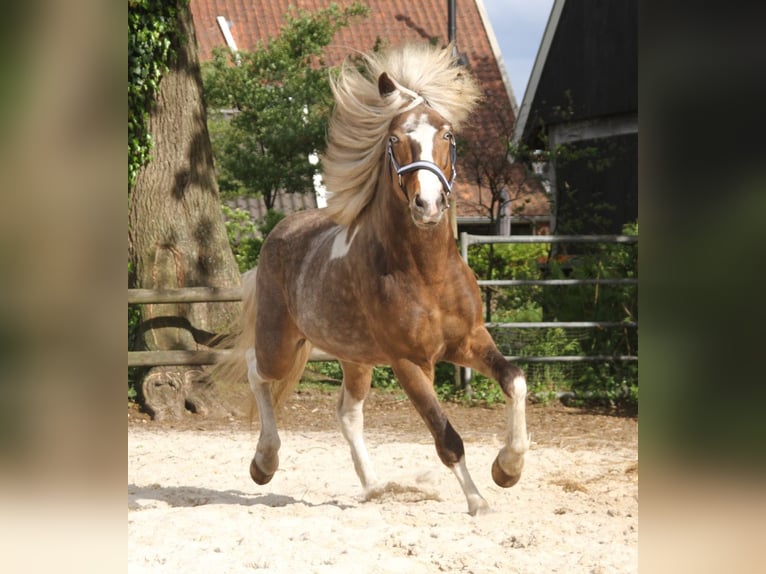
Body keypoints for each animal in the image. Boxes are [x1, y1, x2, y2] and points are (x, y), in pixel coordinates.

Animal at [213, 43, 529, 515]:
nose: (428, 205)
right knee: (257, 372)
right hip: (280, 344)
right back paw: (263, 463)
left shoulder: (469, 341)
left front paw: (507, 468)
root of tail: (280, 232)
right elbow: (446, 436)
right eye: (395, 140)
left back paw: (374, 486)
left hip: (355, 356)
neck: (426, 273)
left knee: (347, 412)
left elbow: (515, 380)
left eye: (447, 135)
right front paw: (478, 501)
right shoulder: (408, 362)